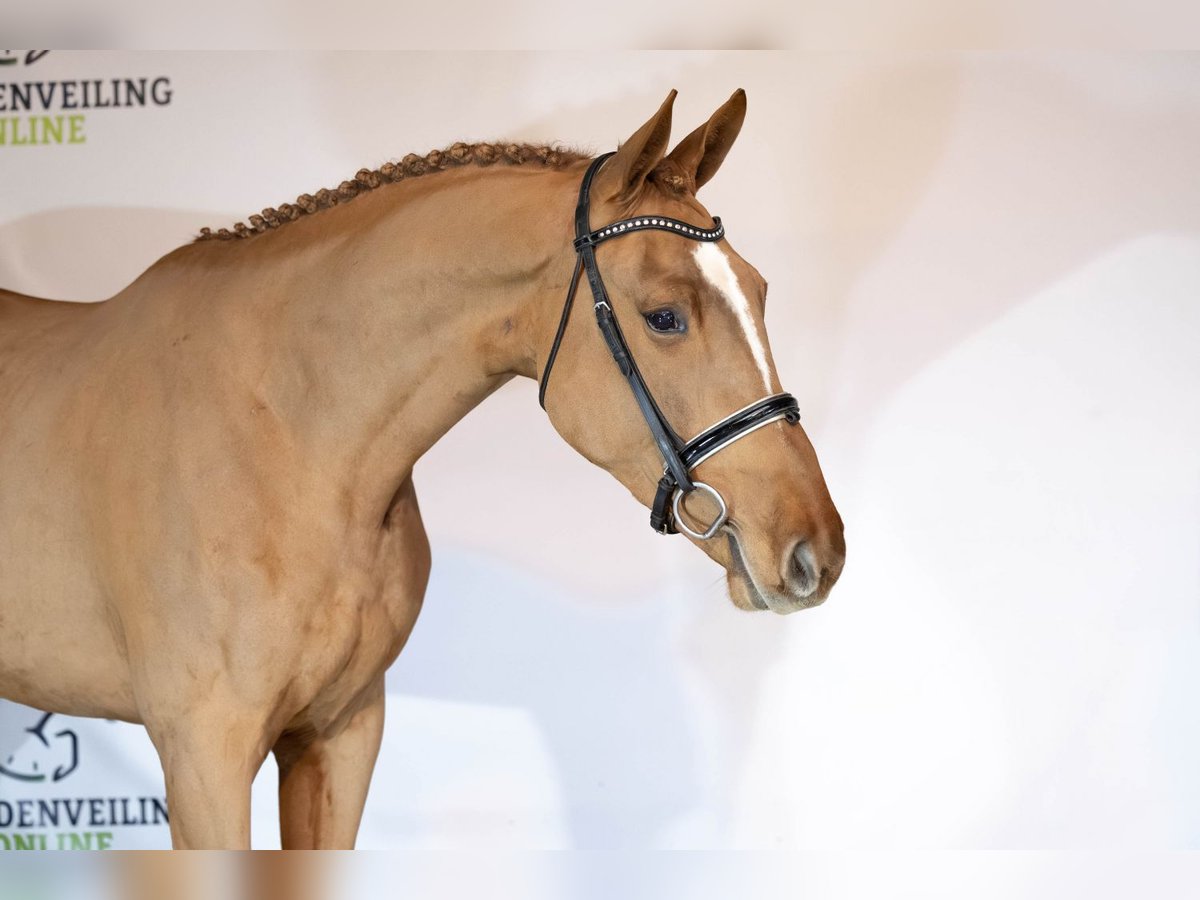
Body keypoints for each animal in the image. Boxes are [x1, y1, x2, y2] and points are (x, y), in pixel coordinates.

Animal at [0, 89, 845, 848]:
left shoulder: (339, 735)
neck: (287, 438)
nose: (817, 551)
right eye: (664, 316)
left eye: (760, 291)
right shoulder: (203, 754)